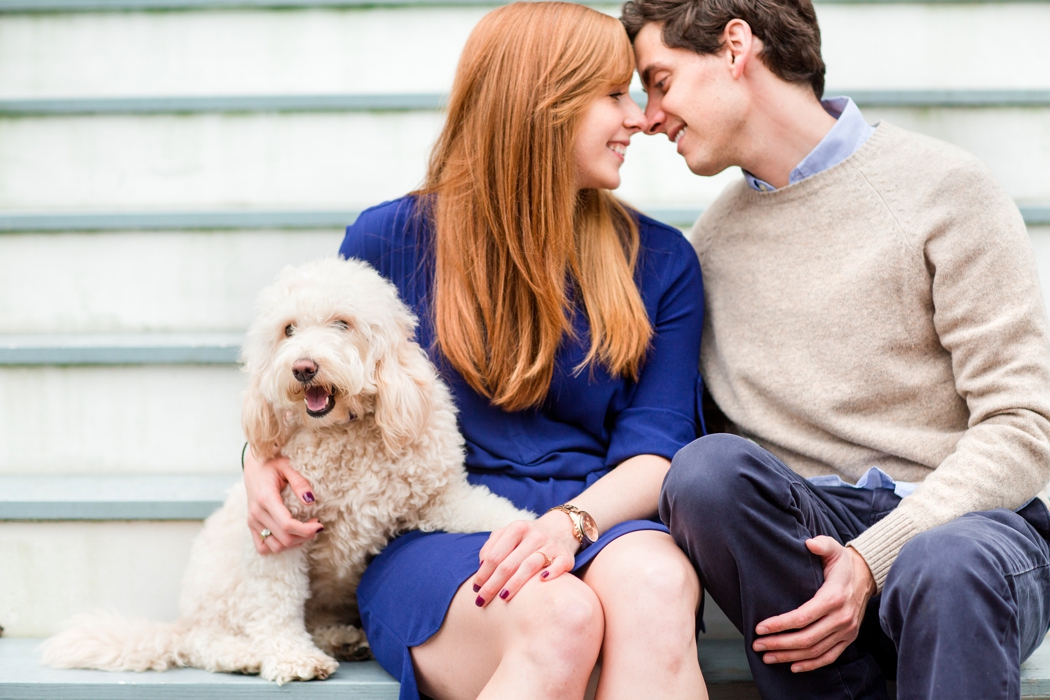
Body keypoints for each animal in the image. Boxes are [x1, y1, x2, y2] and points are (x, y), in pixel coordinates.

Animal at [42, 257, 534, 683]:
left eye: (342, 323)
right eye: (288, 330)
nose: (303, 367)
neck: (344, 433)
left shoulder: (439, 496)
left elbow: (489, 510)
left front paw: (531, 535)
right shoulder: (280, 530)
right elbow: (277, 599)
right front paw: (292, 658)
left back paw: (342, 638)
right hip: (221, 578)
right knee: (205, 641)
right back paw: (244, 654)